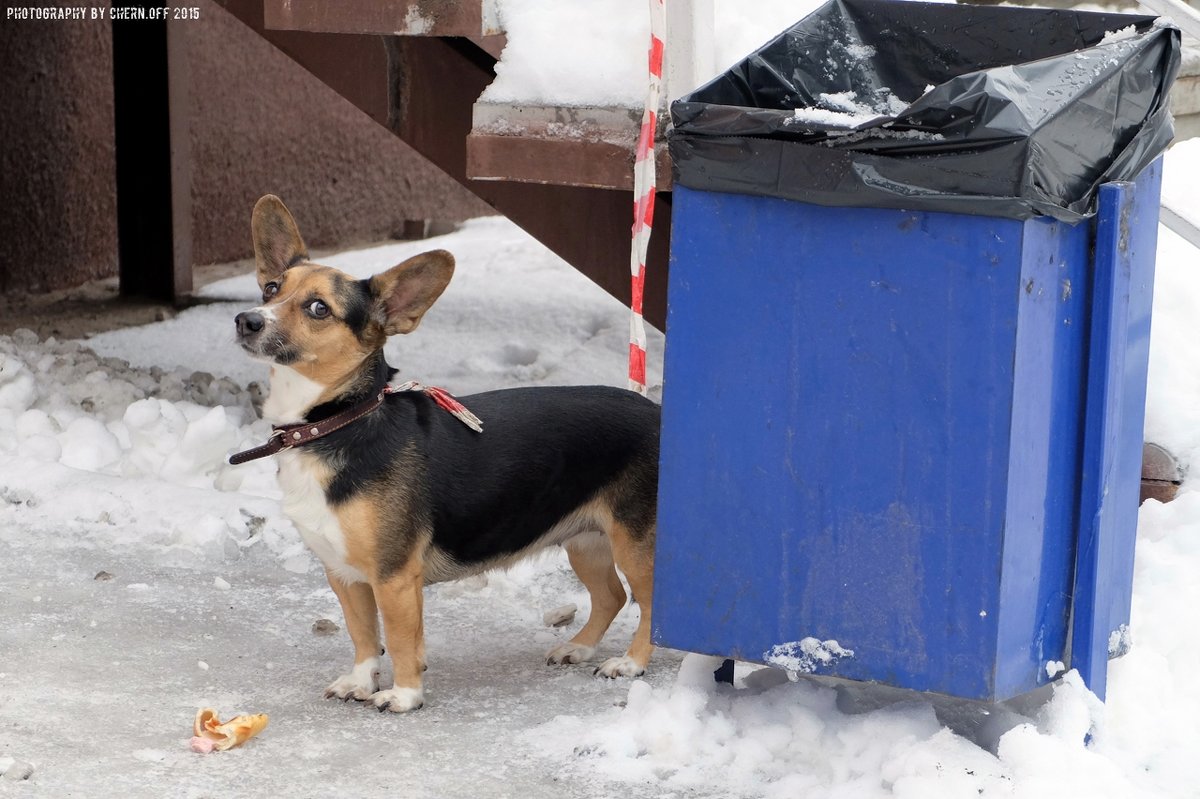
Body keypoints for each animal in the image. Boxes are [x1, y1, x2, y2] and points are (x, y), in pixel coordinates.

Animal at [229, 193, 662, 710]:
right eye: (271, 288)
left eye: (318, 308)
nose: (247, 320)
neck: (338, 423)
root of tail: (662, 413)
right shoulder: (346, 575)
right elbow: (362, 635)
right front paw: (361, 680)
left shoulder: (393, 577)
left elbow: (399, 639)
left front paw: (404, 694)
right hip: (587, 540)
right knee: (611, 595)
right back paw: (578, 647)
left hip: (634, 545)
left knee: (651, 604)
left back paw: (631, 663)